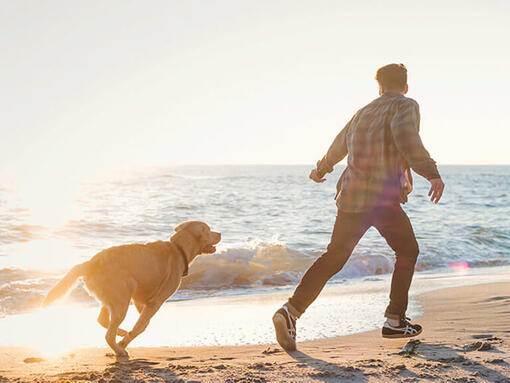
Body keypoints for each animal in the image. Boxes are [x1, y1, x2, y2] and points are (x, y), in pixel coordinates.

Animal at [41, 222, 221, 356]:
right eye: (209, 230)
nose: (220, 233)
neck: (178, 248)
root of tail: (89, 263)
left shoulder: (141, 300)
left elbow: (143, 323)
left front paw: (125, 336)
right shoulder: (155, 302)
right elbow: (141, 326)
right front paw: (125, 342)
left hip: (114, 299)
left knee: (103, 321)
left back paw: (120, 333)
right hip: (121, 300)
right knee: (108, 334)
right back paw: (119, 349)